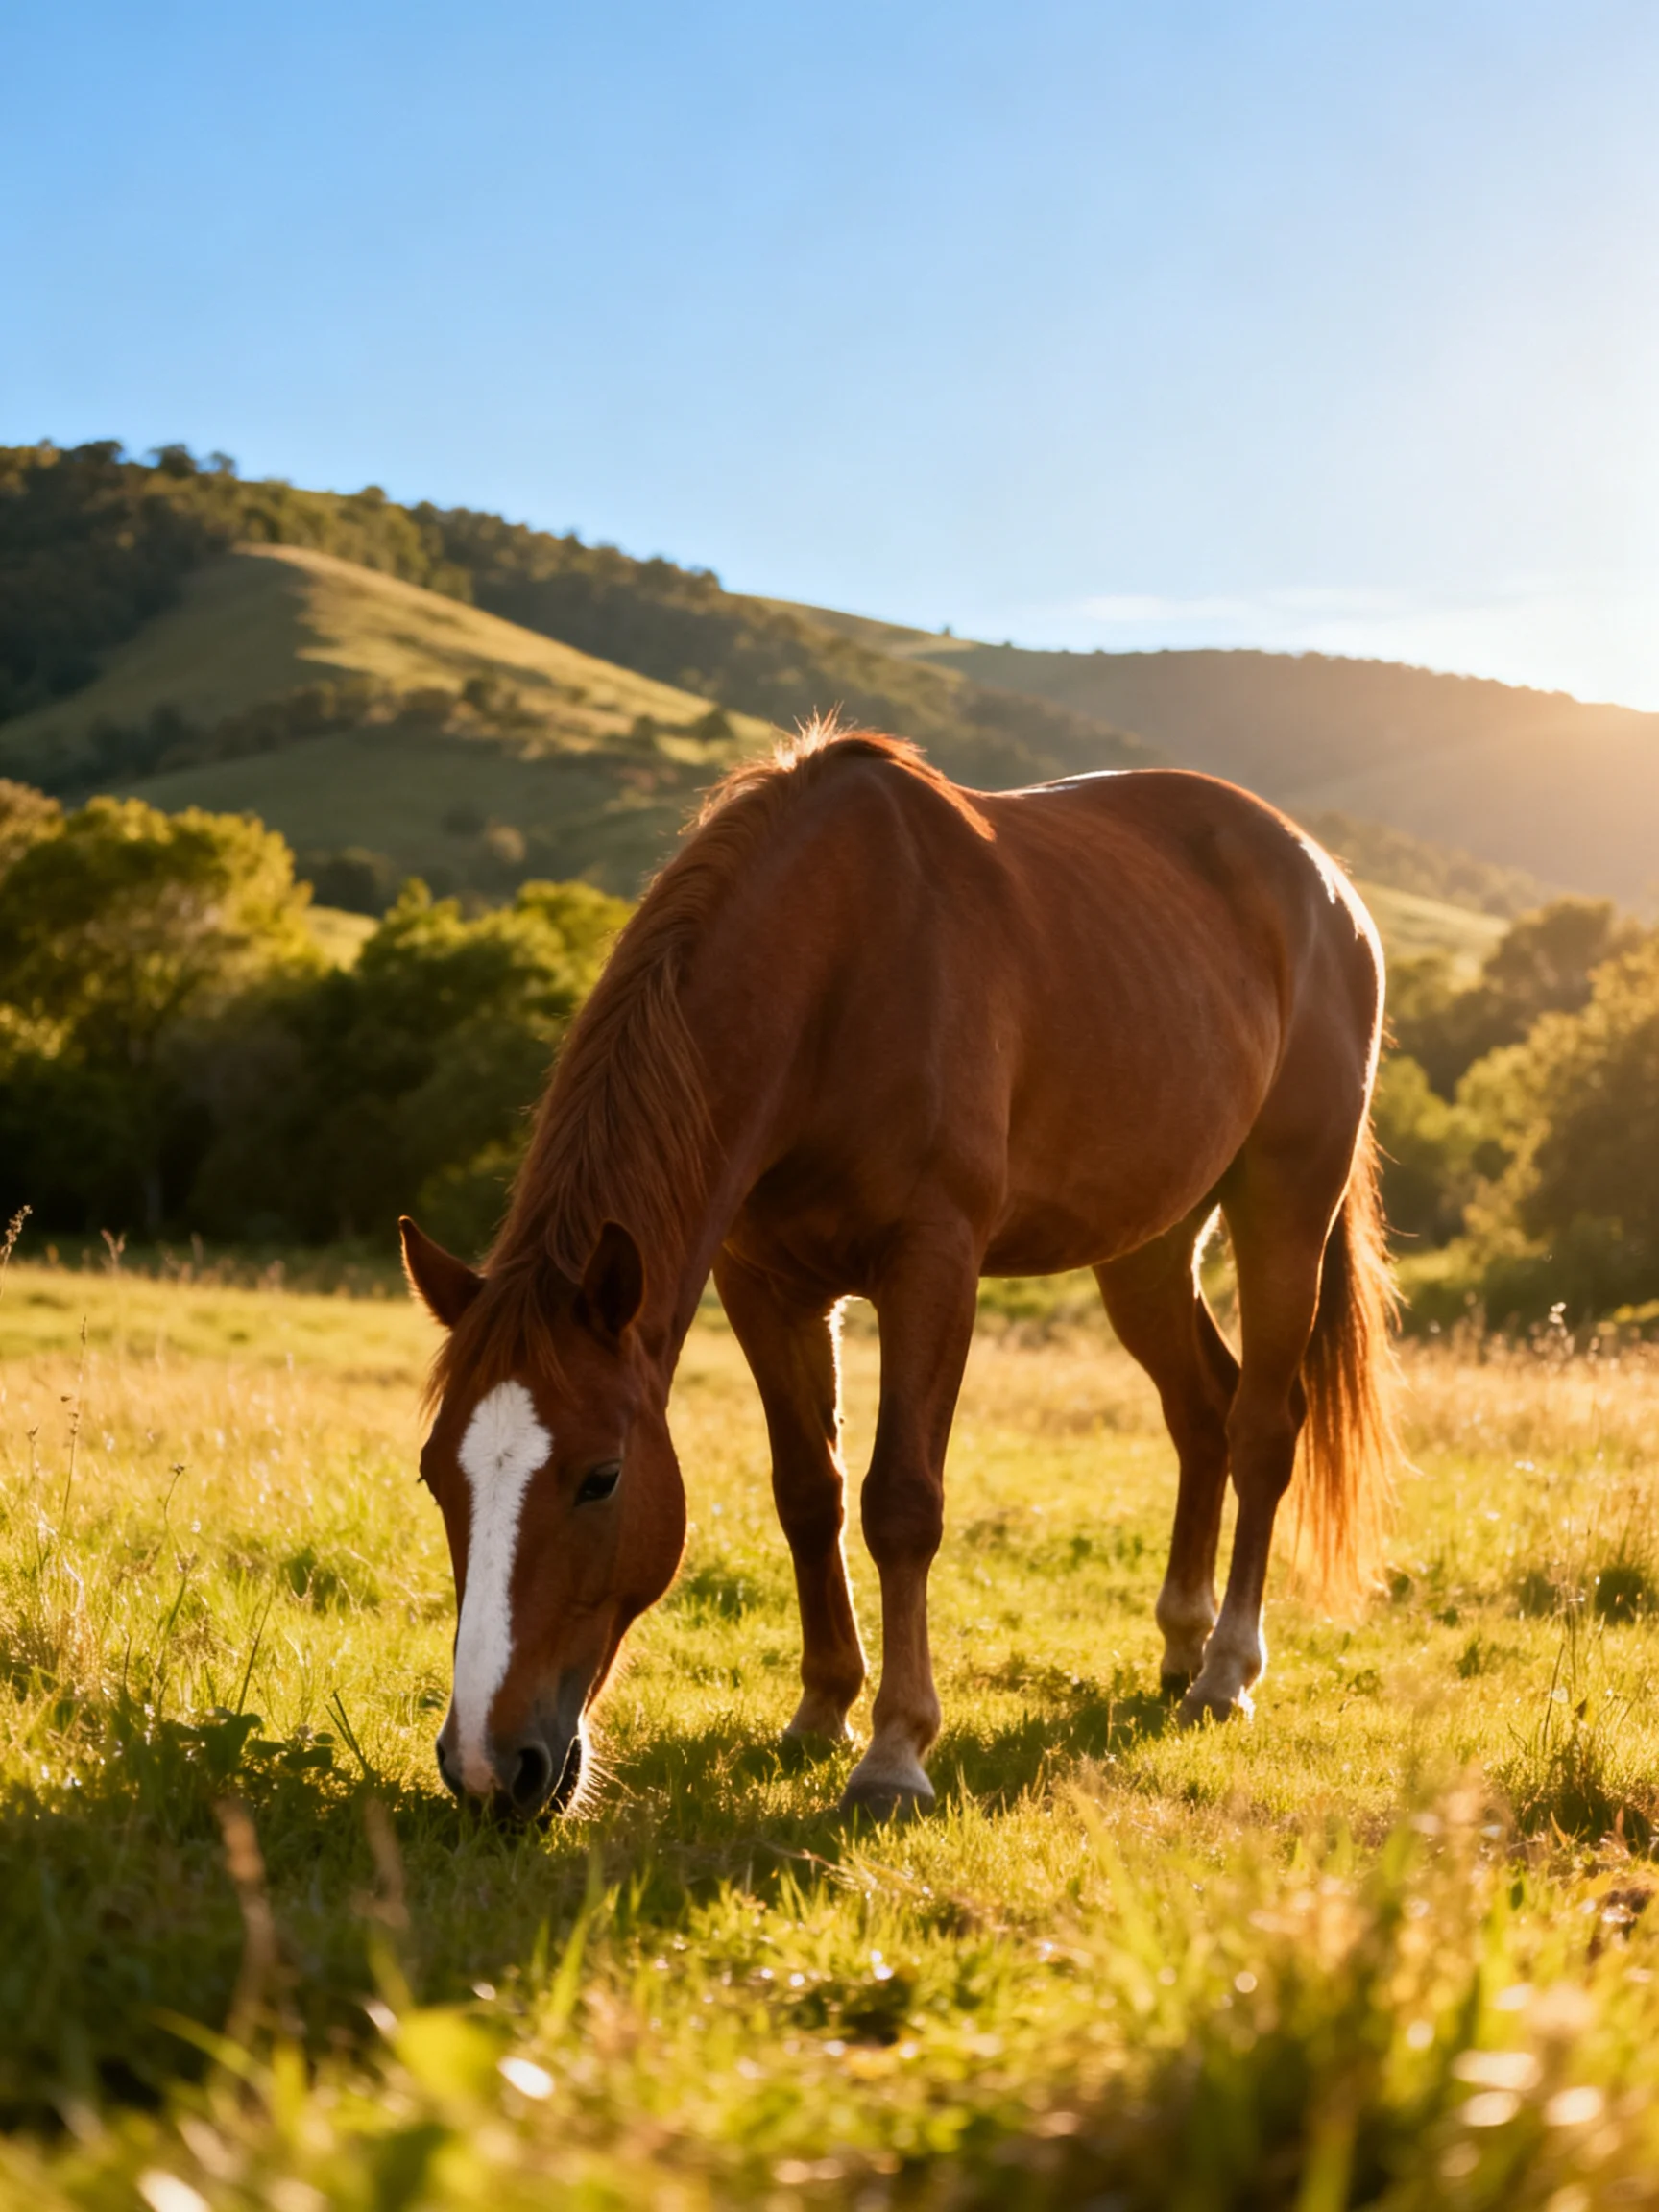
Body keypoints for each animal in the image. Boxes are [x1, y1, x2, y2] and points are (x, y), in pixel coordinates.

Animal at [401, 721, 1397, 1820]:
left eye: (601, 1479)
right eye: (437, 1475)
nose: (490, 1768)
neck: (834, 972)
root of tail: (1327, 885)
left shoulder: (933, 1265)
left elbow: (901, 1504)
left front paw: (894, 1752)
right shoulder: (767, 1286)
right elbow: (809, 1493)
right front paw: (822, 1709)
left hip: (1285, 1207)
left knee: (1262, 1425)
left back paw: (1225, 1669)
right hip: (1147, 1248)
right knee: (1201, 1411)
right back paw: (1181, 1642)